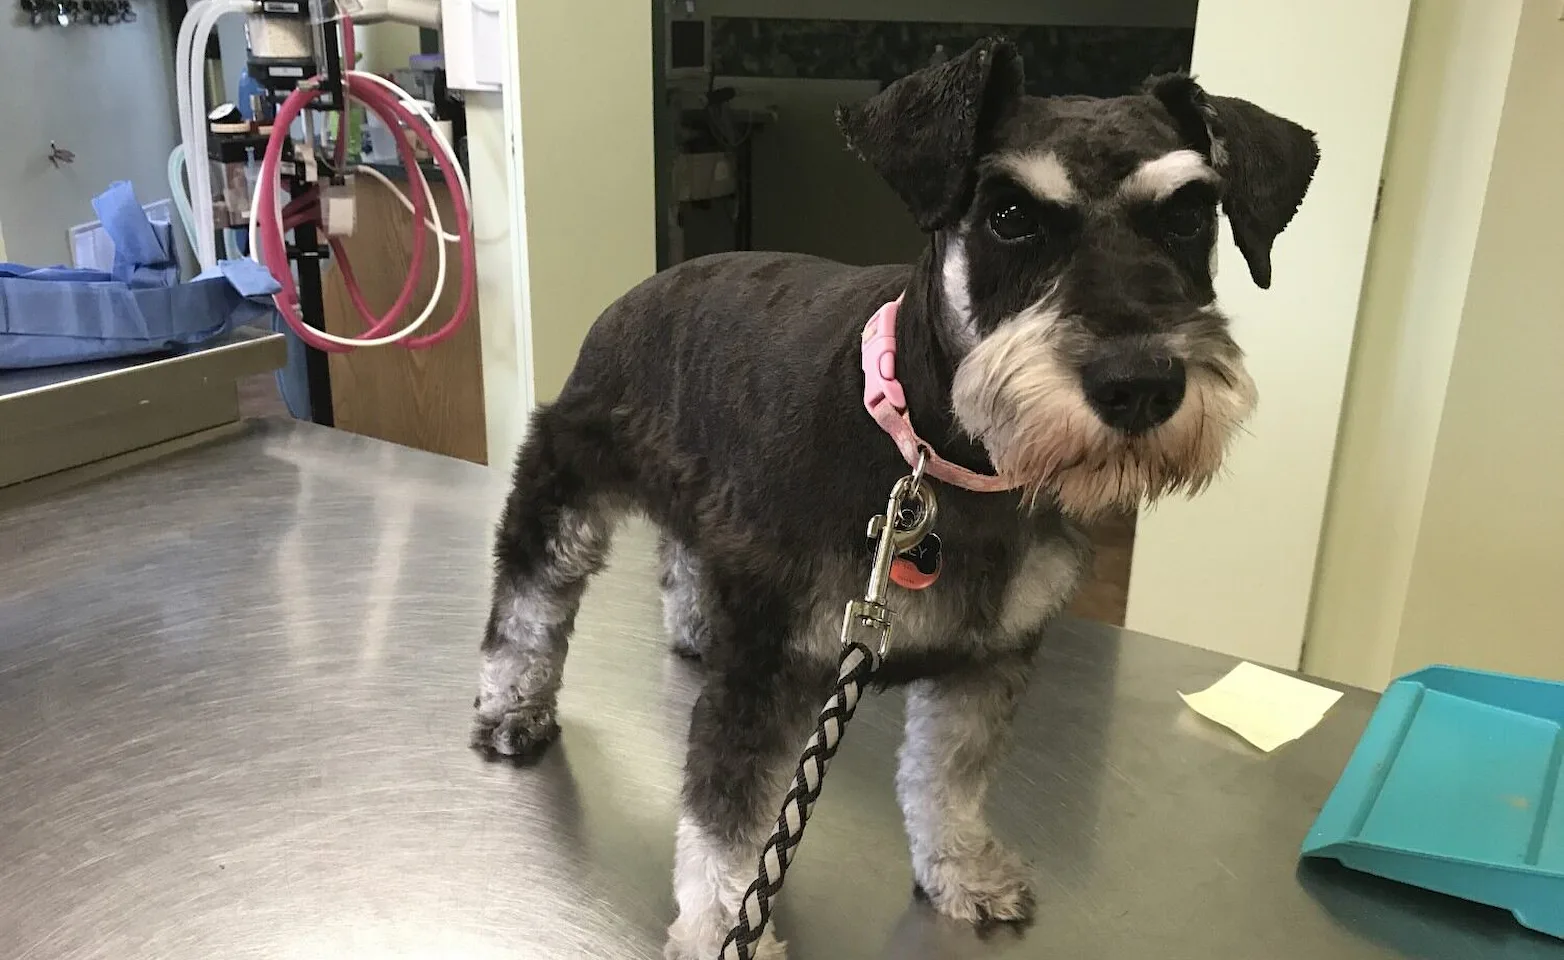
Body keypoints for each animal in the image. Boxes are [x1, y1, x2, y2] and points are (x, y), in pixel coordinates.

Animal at [472, 39, 1320, 960]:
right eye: (1008, 216)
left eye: (1191, 215)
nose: (1140, 385)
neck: (938, 457)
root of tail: (648, 287)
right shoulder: (767, 673)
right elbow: (727, 822)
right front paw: (723, 927)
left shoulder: (988, 657)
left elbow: (948, 778)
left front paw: (960, 870)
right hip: (566, 479)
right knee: (530, 599)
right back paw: (513, 704)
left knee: (684, 557)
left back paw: (696, 627)